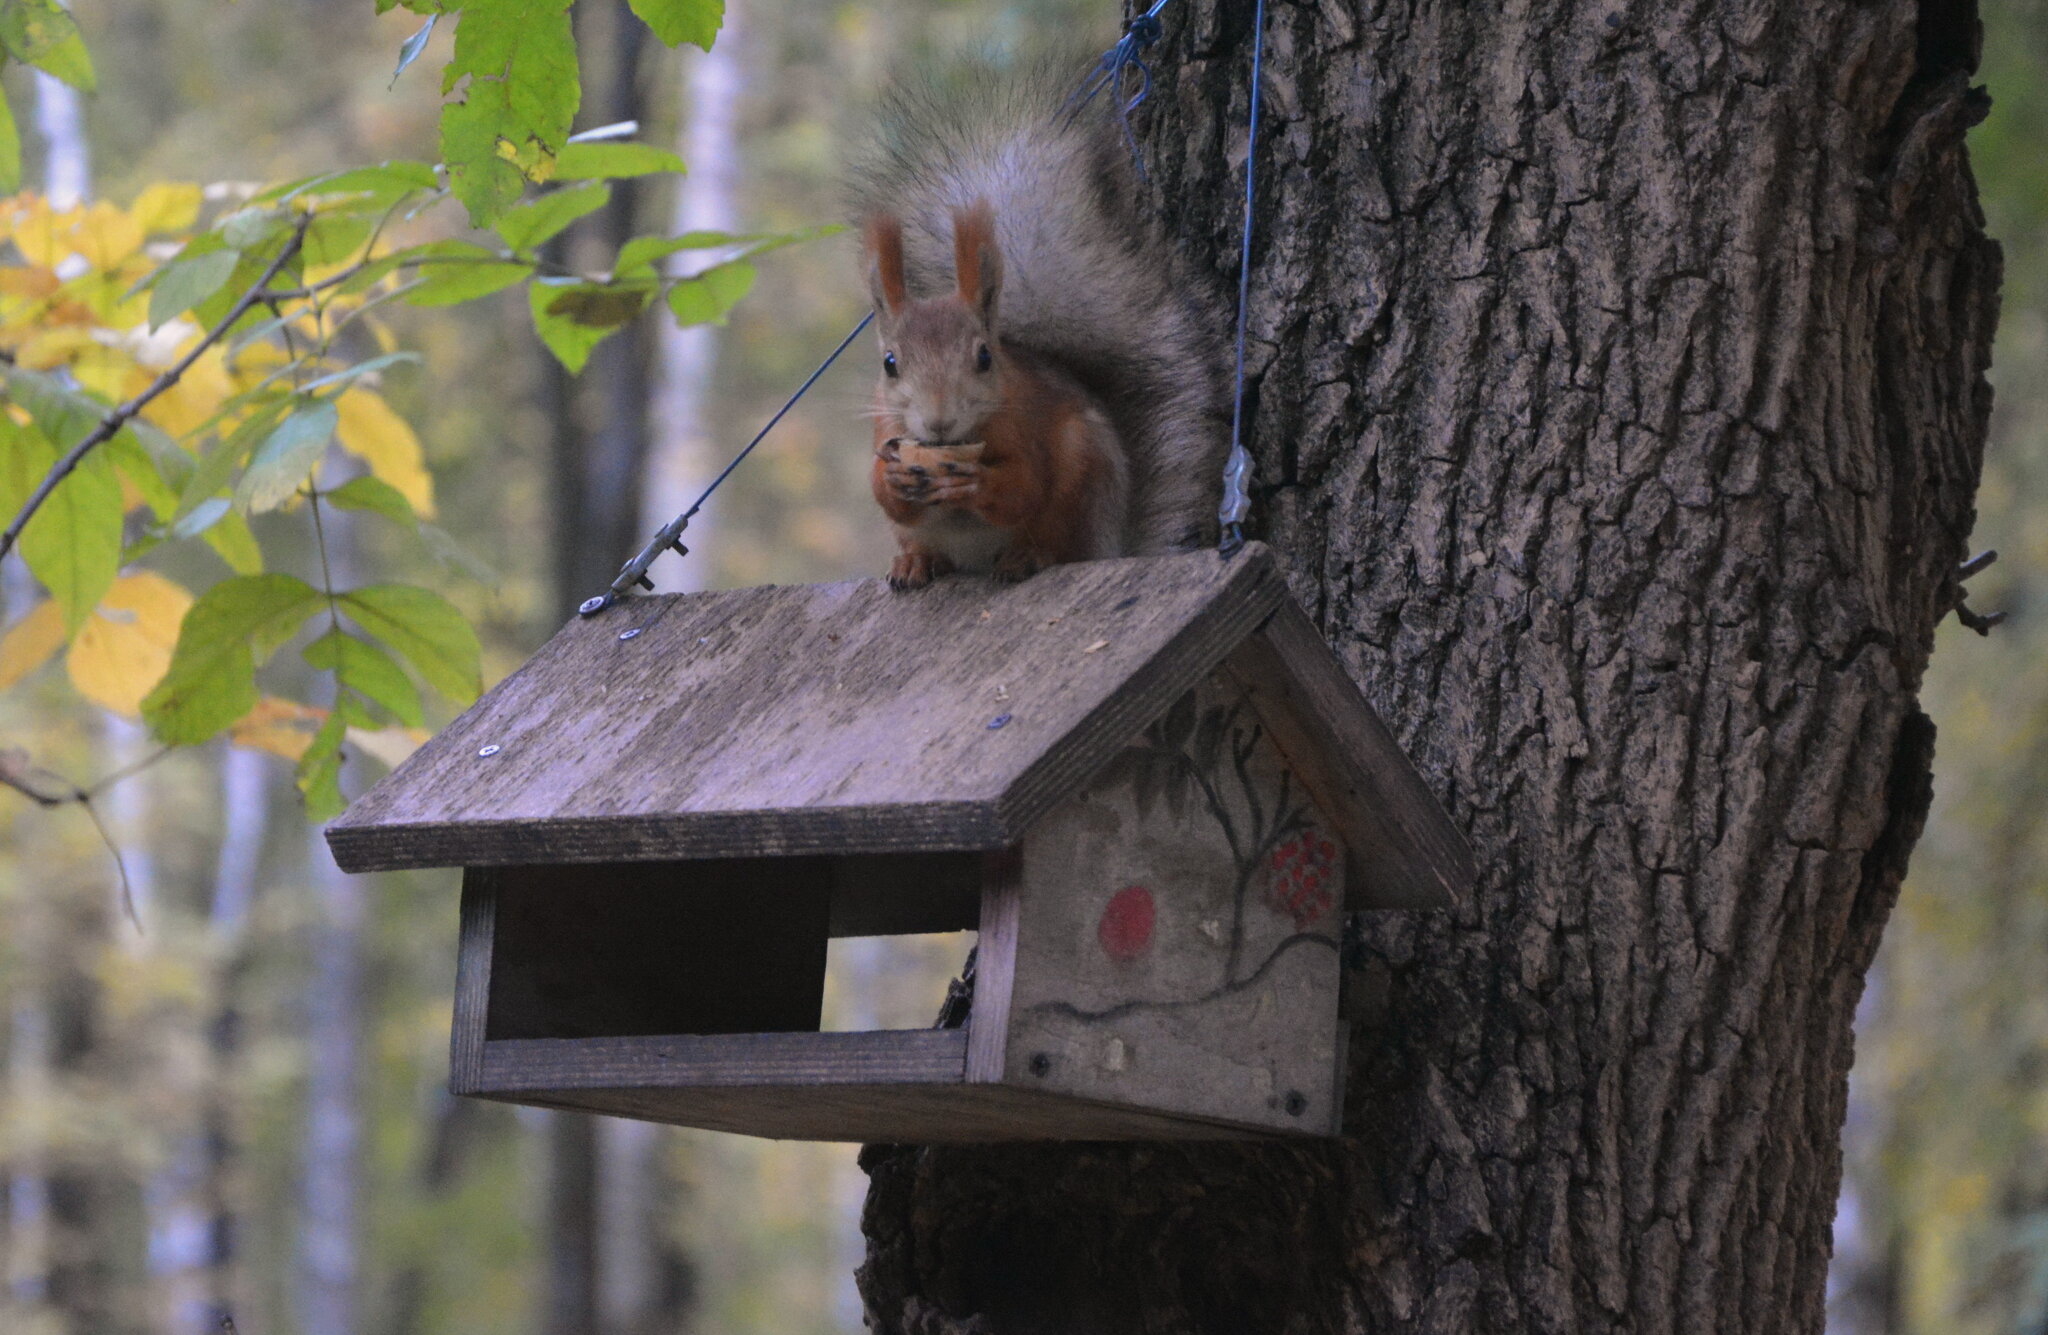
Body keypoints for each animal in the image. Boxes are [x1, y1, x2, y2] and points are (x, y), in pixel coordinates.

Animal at [845, 62, 1232, 589]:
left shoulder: (1027, 423)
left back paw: (1027, 557)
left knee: (1058, 541)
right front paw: (892, 478)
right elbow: (886, 495)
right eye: (889, 364)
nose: (939, 420)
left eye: (985, 357)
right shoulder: (885, 425)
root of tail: (1113, 545)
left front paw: (979, 481)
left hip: (1081, 471)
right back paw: (915, 562)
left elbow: (1023, 488)